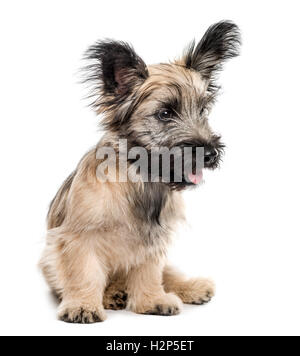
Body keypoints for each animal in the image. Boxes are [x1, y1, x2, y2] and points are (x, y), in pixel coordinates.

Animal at [39, 20, 240, 324]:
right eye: (165, 113)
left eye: (203, 110)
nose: (209, 153)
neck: (140, 179)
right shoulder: (79, 239)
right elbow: (84, 272)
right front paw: (82, 305)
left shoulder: (152, 241)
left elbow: (150, 273)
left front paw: (151, 301)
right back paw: (112, 294)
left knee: (168, 274)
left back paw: (190, 287)